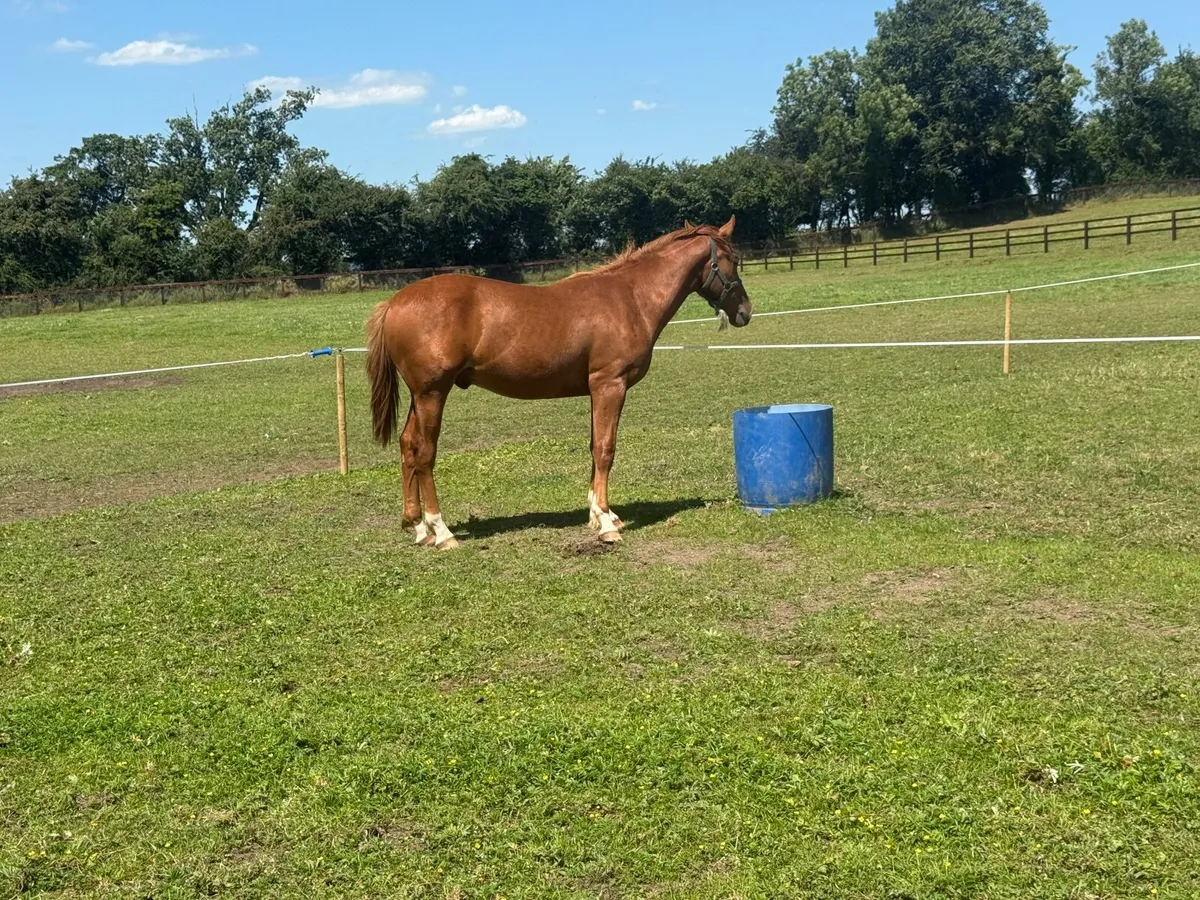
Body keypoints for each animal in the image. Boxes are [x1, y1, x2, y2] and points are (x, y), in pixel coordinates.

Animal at [364, 215, 753, 550]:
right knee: (424, 454)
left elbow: (595, 447)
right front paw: (608, 526)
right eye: (734, 259)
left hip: (420, 396)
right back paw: (441, 531)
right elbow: (605, 449)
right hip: (432, 393)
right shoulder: (610, 385)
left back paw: (417, 526)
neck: (631, 297)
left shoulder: (597, 390)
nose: (745, 312)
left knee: (407, 446)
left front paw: (599, 513)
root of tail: (394, 302)